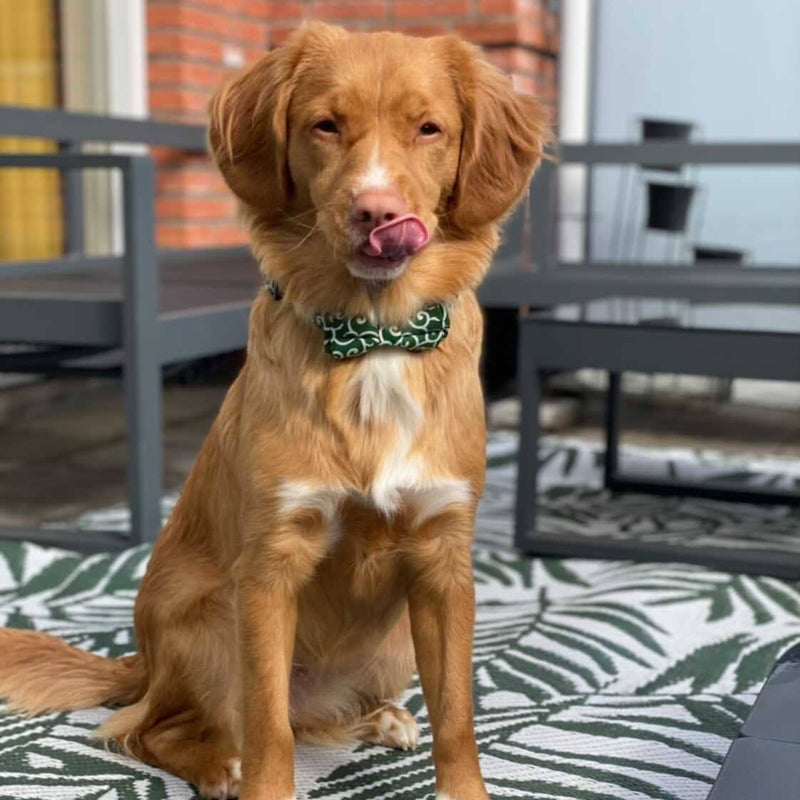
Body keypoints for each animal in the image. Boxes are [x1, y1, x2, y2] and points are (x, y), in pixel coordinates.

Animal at [0, 21, 548, 796]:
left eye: (429, 129)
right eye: (325, 125)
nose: (378, 214)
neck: (373, 338)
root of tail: (143, 661)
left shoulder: (443, 563)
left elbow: (456, 717)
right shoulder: (268, 569)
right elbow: (267, 727)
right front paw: (257, 779)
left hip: (393, 644)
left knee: (318, 716)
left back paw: (381, 719)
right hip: (212, 622)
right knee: (147, 729)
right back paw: (216, 766)